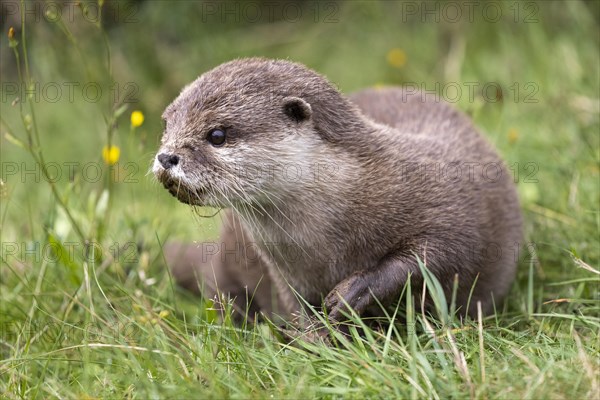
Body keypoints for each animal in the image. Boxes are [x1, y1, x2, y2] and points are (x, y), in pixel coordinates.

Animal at [152, 58, 524, 328]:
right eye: (166, 124)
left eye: (217, 134)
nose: (166, 157)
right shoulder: (286, 273)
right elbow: (298, 309)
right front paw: (318, 342)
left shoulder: (447, 206)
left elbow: (437, 254)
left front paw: (355, 292)